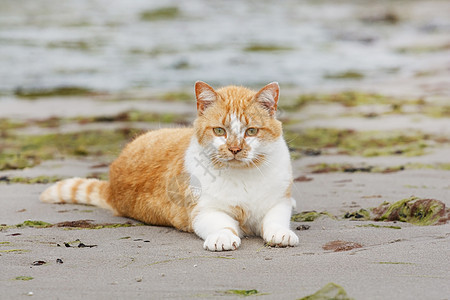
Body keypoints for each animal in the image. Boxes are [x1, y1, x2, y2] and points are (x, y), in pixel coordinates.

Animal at [39, 81, 298, 251]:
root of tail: (112, 183)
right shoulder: (202, 212)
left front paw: (280, 233)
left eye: (251, 131)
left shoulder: (279, 202)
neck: (242, 175)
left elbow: (274, 219)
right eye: (219, 131)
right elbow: (222, 224)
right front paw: (222, 237)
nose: (235, 149)